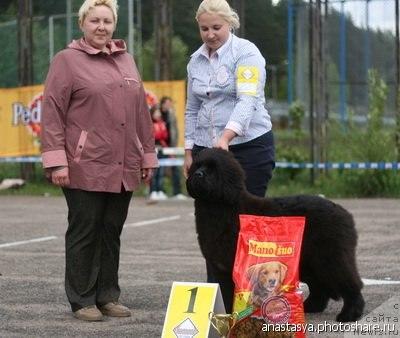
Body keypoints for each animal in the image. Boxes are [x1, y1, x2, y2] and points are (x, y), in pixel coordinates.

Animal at [188, 149, 366, 322]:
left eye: (213, 169)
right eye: (197, 166)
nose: (198, 175)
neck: (222, 208)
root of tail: (345, 214)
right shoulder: (219, 267)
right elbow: (224, 292)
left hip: (330, 258)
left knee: (350, 283)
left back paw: (349, 314)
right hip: (309, 261)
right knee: (319, 286)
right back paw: (310, 307)